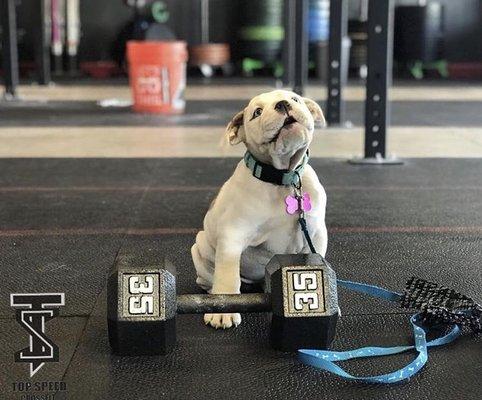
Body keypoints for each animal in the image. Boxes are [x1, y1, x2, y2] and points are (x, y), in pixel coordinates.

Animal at [192, 90, 328, 328]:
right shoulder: (232, 236)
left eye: (295, 99)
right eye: (257, 112)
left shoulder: (316, 234)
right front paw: (223, 310)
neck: (283, 178)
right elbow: (227, 274)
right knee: (211, 278)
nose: (283, 104)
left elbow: (314, 259)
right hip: (199, 248)